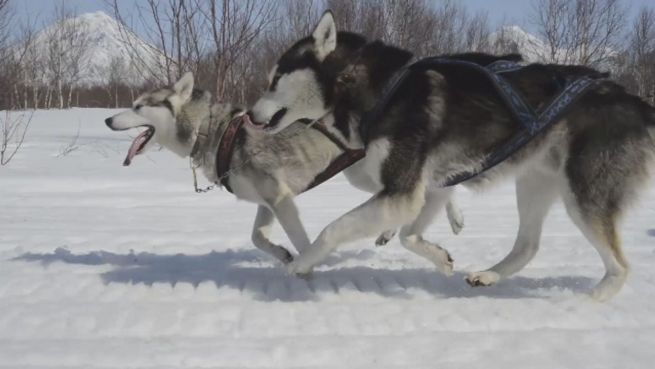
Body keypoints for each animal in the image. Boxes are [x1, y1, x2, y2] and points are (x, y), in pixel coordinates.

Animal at [105, 72, 464, 264]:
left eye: (138, 106)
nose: (108, 119)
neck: (211, 129)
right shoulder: (267, 202)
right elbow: (257, 238)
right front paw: (282, 254)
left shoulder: (280, 199)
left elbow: (303, 242)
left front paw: (309, 264)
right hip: (361, 175)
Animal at [250, 11, 655, 300]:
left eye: (275, 79)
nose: (250, 116)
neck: (379, 89)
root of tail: (633, 102)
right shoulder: (427, 186)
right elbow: (408, 235)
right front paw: (440, 259)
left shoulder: (403, 191)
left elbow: (334, 229)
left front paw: (300, 264)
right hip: (534, 183)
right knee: (528, 245)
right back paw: (488, 275)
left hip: (583, 196)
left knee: (619, 267)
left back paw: (584, 302)